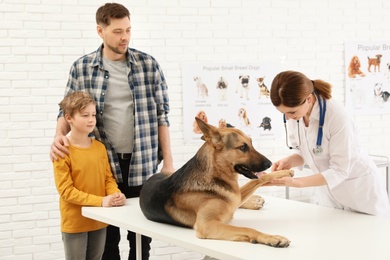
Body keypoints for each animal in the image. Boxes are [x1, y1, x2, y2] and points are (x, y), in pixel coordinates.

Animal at [139, 118, 292, 248]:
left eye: (251, 143)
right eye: (243, 147)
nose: (269, 163)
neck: (215, 173)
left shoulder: (233, 194)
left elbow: (260, 179)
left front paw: (284, 172)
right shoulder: (208, 225)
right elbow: (248, 228)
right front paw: (273, 238)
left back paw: (253, 201)